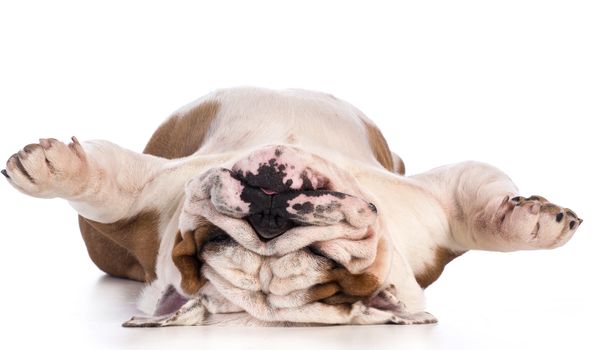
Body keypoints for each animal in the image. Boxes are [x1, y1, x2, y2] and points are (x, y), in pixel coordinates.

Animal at [2, 87, 584, 326]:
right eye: (211, 243)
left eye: (327, 258)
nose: (270, 215)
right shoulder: (150, 192)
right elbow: (107, 188)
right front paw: (54, 169)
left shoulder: (437, 209)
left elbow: (477, 210)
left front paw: (532, 220)